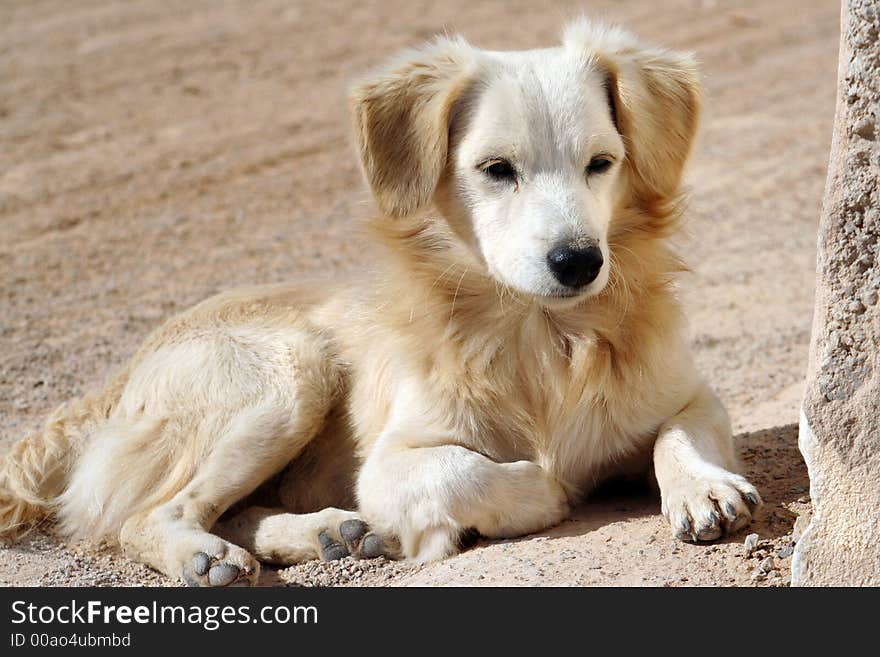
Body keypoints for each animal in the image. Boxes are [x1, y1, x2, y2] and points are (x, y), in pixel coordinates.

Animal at [0, 19, 760, 584]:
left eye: (601, 163)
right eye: (496, 170)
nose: (578, 261)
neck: (545, 338)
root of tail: (120, 376)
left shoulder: (690, 392)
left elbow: (677, 432)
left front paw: (704, 487)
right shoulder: (392, 461)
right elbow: (475, 473)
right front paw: (547, 489)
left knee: (231, 509)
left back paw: (331, 533)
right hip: (289, 376)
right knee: (150, 515)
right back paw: (209, 556)